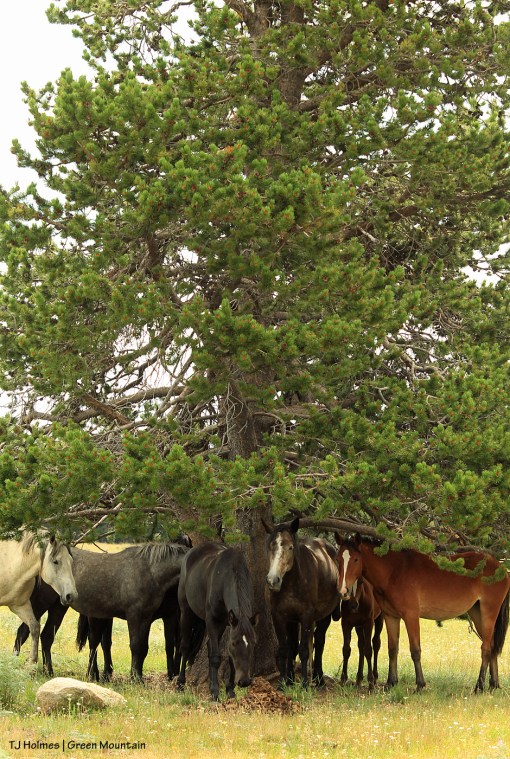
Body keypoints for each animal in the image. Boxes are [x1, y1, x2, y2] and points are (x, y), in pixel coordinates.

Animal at [0, 532, 77, 664]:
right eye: (55, 561)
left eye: (71, 561)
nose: (71, 596)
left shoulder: (20, 606)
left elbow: (34, 627)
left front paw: (32, 660)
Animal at [177, 542, 258, 701]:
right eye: (235, 643)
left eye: (253, 644)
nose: (244, 681)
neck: (226, 579)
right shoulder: (213, 621)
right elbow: (215, 656)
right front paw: (215, 692)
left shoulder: (230, 623)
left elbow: (229, 658)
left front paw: (230, 691)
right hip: (186, 611)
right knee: (185, 646)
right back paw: (180, 682)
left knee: (208, 645)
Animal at [262, 517, 340, 689]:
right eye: (270, 547)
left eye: (290, 547)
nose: (273, 580)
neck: (292, 582)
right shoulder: (279, 616)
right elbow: (286, 648)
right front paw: (284, 683)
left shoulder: (306, 616)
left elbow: (304, 650)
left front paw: (304, 684)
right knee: (294, 645)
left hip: (324, 617)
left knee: (319, 642)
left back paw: (318, 680)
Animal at [335, 533, 510, 692]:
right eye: (338, 559)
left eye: (355, 559)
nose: (343, 591)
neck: (394, 571)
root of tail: (501, 568)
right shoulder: (391, 617)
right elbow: (392, 649)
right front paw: (391, 683)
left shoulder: (411, 616)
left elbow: (415, 650)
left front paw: (420, 685)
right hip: (477, 613)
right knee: (492, 646)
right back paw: (493, 684)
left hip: (489, 612)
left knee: (486, 648)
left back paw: (479, 686)